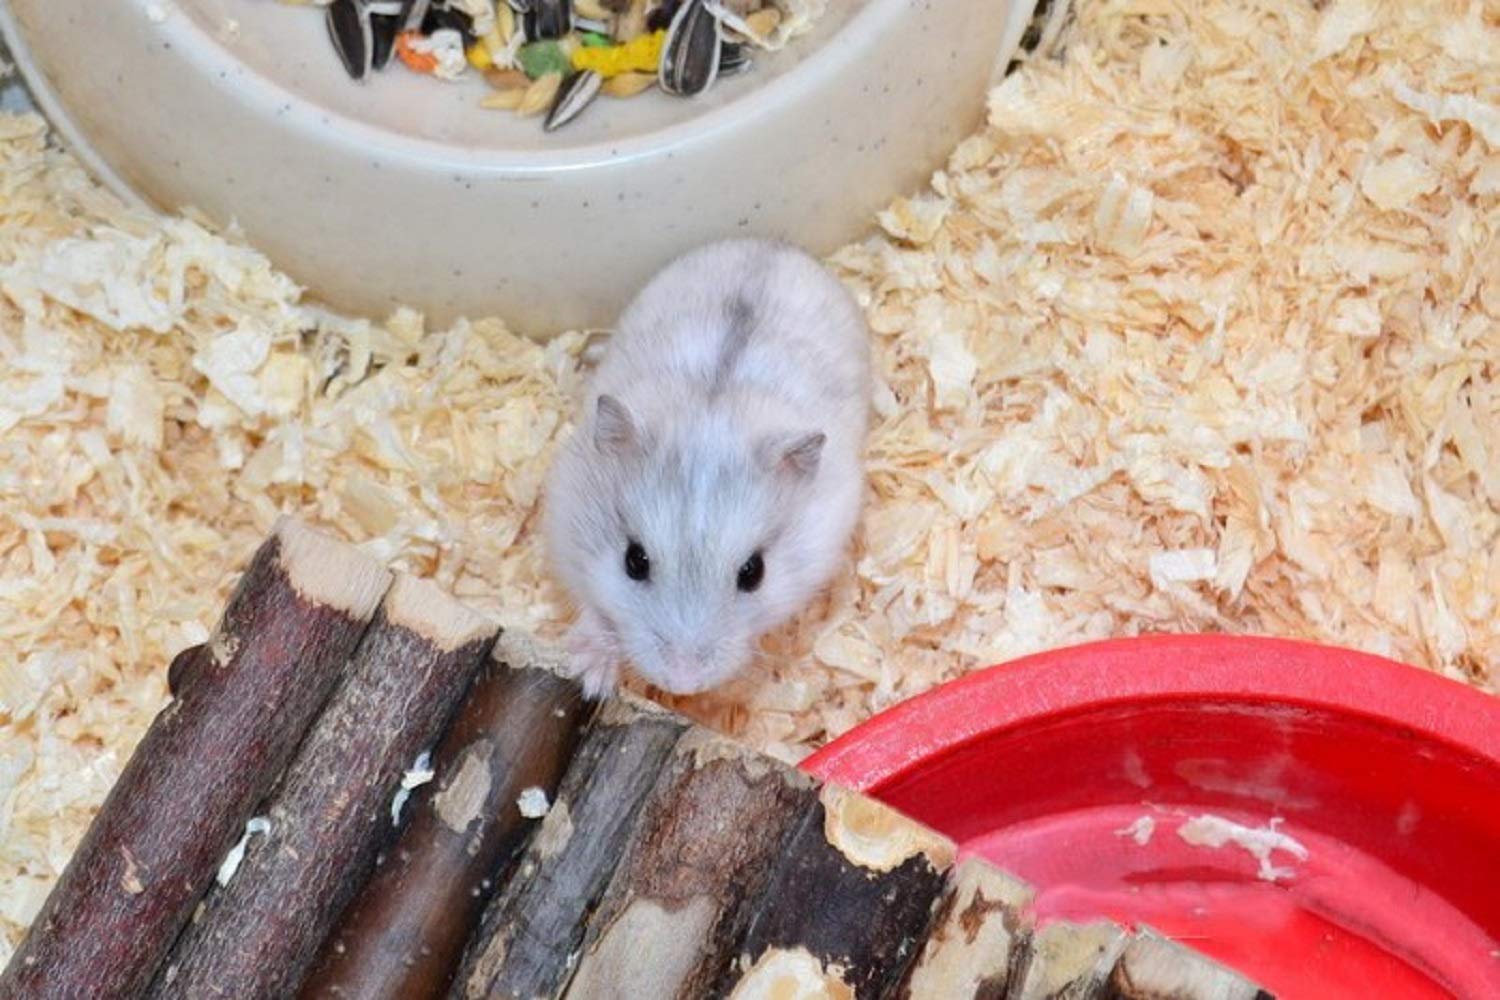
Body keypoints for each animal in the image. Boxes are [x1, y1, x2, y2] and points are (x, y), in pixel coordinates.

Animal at [543, 237, 872, 697]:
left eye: (754, 573)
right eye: (634, 561)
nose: (683, 683)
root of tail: (772, 244)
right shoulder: (566, 533)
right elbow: (590, 603)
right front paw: (589, 676)